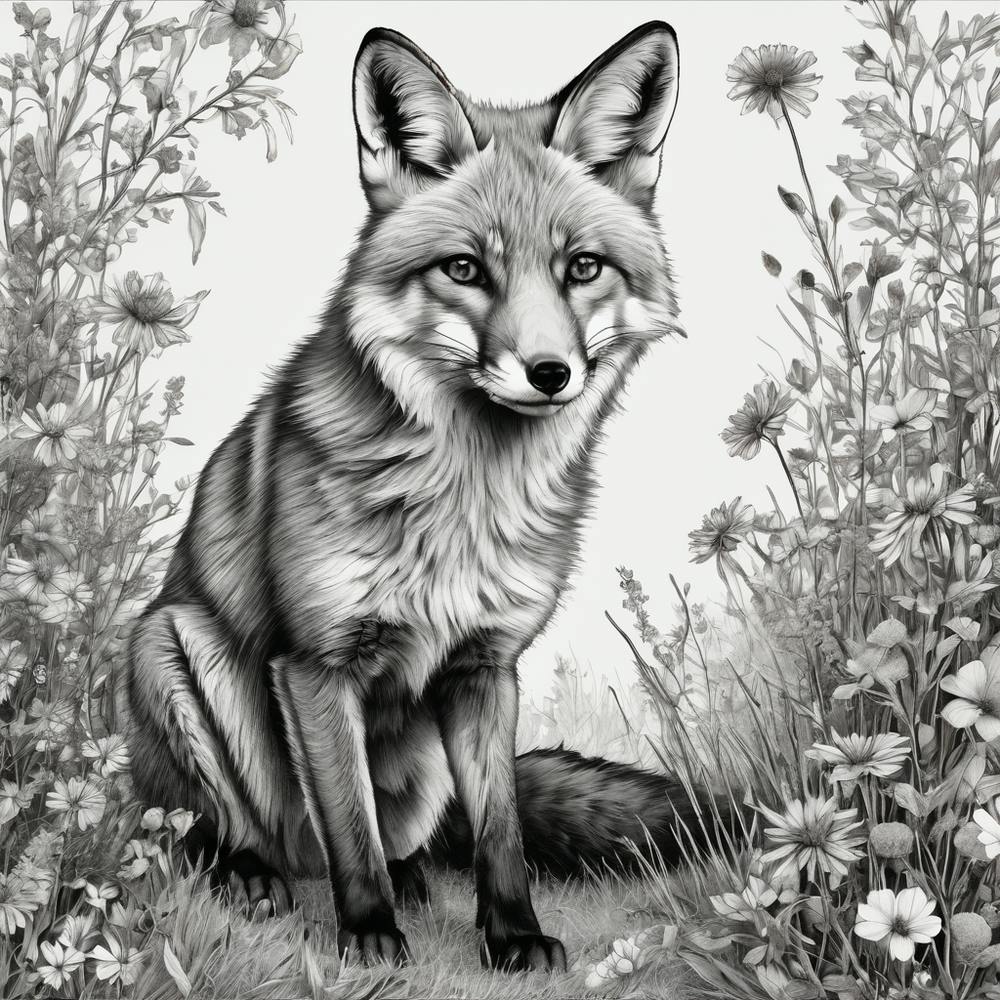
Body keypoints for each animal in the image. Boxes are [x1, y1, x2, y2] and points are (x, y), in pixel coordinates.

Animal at [125, 20, 697, 973]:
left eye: (582, 268)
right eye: (464, 269)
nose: (550, 373)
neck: (467, 500)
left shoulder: (485, 666)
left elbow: (501, 833)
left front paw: (514, 936)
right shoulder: (316, 666)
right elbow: (349, 824)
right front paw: (368, 935)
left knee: (429, 839)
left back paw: (419, 880)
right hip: (169, 647)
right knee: (228, 829)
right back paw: (253, 874)